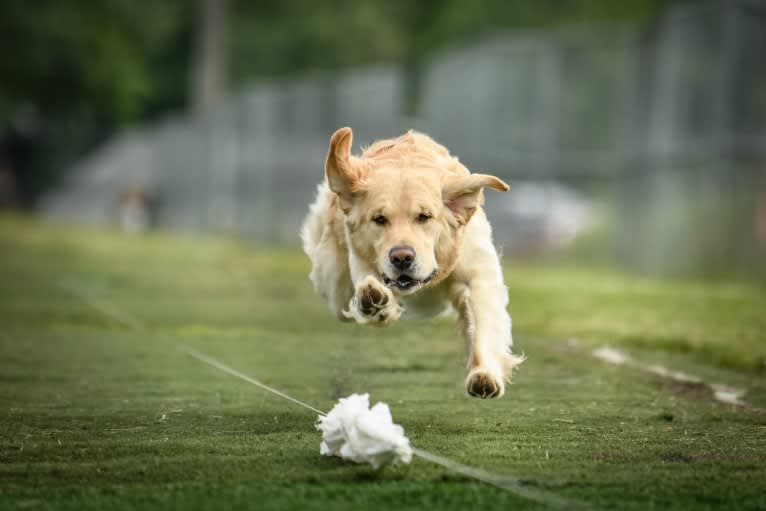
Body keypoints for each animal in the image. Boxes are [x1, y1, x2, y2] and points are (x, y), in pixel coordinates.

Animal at [304, 128, 524, 400]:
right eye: (379, 219)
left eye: (424, 217)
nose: (401, 257)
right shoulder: (362, 262)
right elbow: (371, 286)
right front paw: (374, 301)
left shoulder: (476, 275)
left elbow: (484, 324)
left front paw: (484, 375)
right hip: (335, 287)